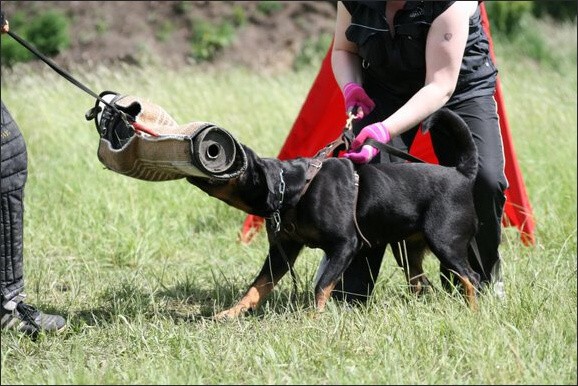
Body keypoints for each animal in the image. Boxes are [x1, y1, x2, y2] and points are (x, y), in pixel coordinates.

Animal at [187, 107, 480, 318]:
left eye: (234, 155)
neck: (296, 189)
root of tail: (461, 173)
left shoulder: (345, 245)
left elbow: (321, 285)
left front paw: (313, 319)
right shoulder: (283, 252)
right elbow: (257, 286)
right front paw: (229, 313)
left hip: (445, 242)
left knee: (471, 278)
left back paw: (473, 312)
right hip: (407, 249)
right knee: (421, 282)